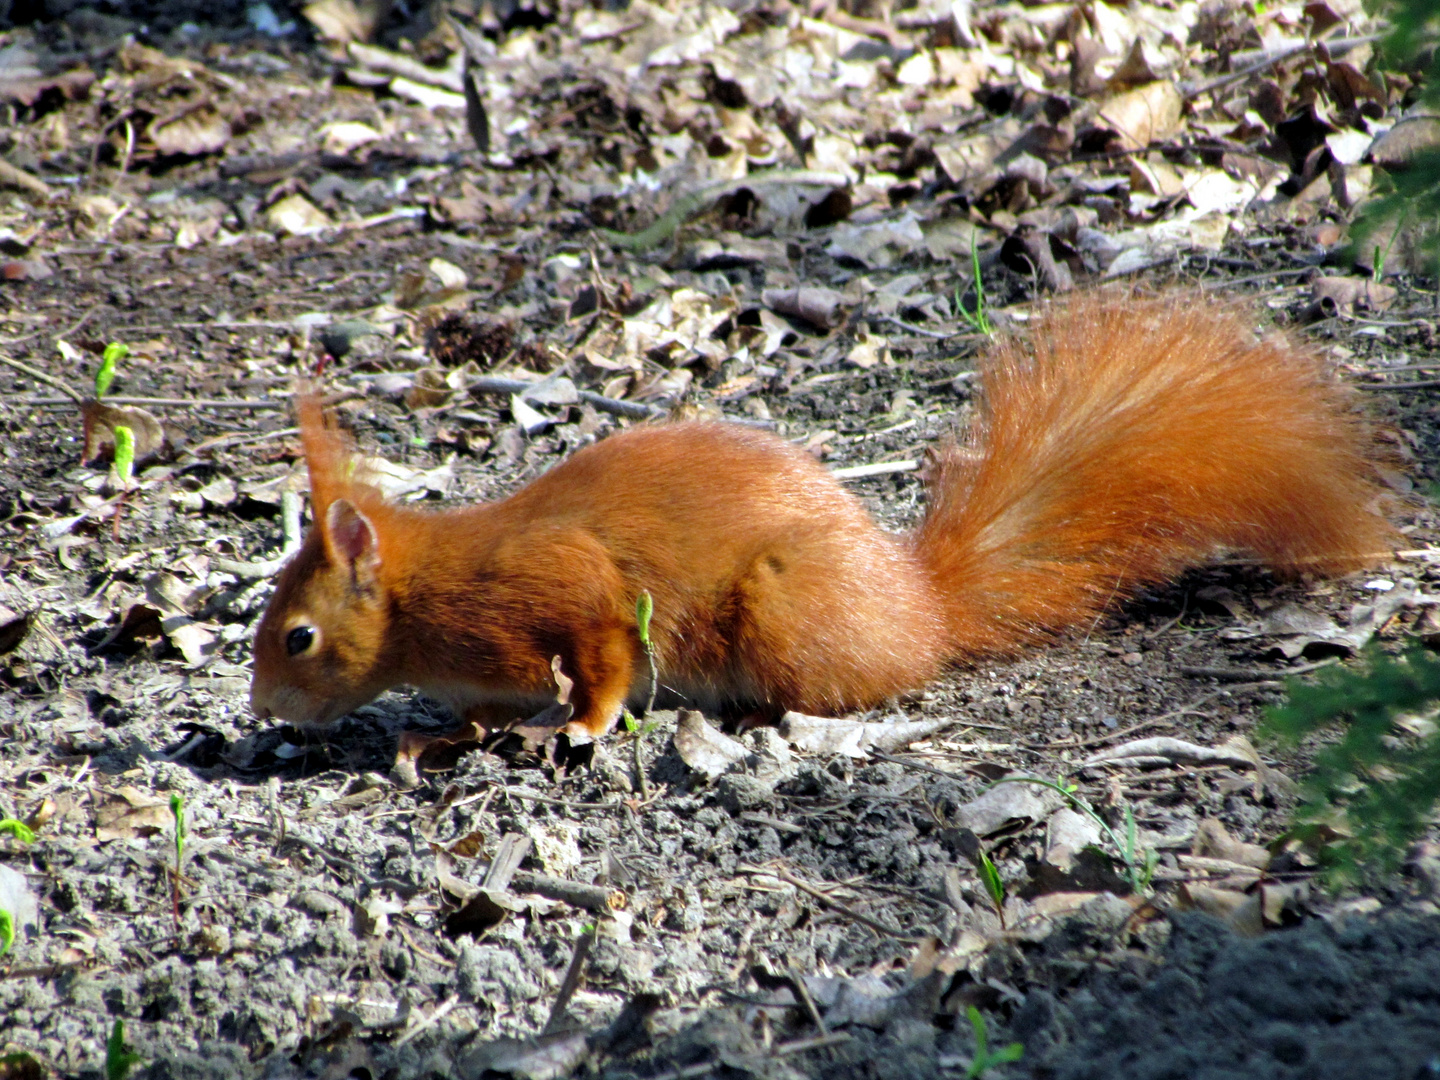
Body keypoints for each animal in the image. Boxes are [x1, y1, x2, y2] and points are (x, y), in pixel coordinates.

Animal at [247, 292, 1393, 743]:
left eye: (297, 636)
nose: (260, 711)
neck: (429, 591)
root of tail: (921, 611)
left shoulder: (566, 592)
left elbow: (604, 663)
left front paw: (576, 725)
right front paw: (453, 732)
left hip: (781, 612)